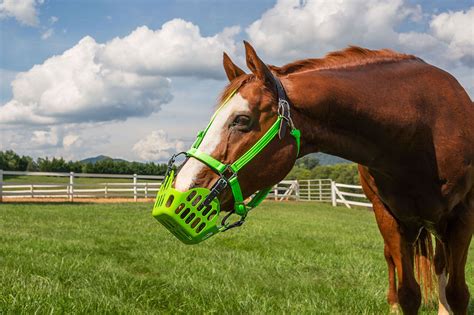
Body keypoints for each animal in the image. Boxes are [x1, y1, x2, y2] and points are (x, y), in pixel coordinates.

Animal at [175, 41, 474, 314]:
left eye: (241, 119)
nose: (182, 189)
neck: (423, 126)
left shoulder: (462, 217)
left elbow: (458, 294)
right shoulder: (389, 218)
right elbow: (409, 295)